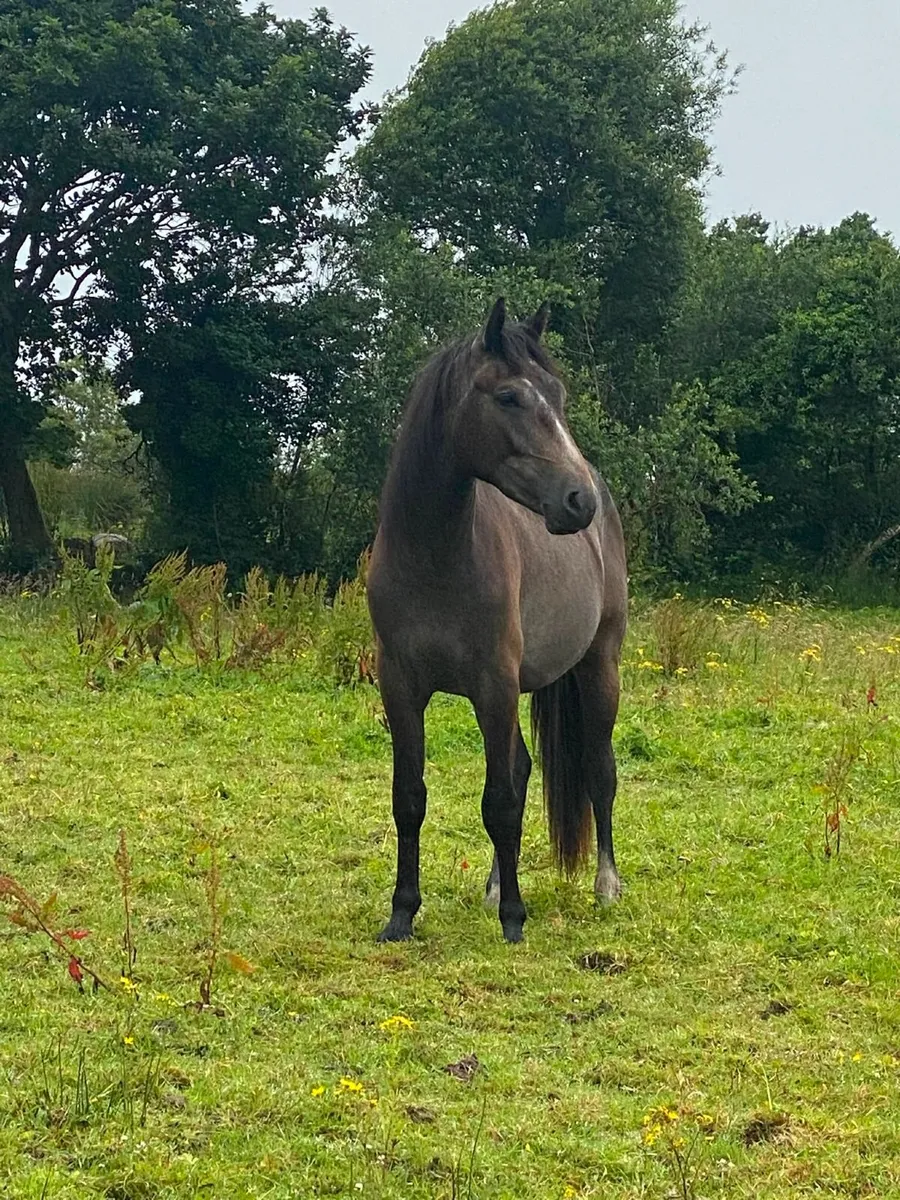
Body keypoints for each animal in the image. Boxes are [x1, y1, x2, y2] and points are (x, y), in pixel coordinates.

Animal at [366, 298, 627, 943]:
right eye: (509, 397)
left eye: (558, 395)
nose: (578, 501)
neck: (435, 556)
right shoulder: (400, 686)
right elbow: (410, 797)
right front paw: (402, 913)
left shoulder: (493, 686)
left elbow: (500, 802)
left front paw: (514, 918)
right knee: (526, 768)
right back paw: (489, 888)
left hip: (599, 665)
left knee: (598, 767)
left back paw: (606, 886)